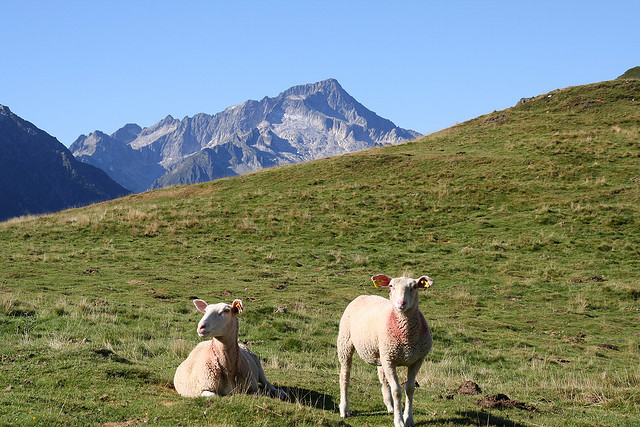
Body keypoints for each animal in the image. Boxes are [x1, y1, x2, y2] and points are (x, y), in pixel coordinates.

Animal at [336, 274, 436, 427]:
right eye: (391, 286)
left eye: (414, 287)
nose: (401, 303)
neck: (406, 336)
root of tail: (365, 295)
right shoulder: (390, 361)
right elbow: (397, 391)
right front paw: (399, 421)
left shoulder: (416, 360)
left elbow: (410, 389)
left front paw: (408, 418)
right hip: (345, 343)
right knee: (344, 377)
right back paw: (344, 408)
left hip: (380, 352)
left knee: (382, 378)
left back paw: (390, 406)